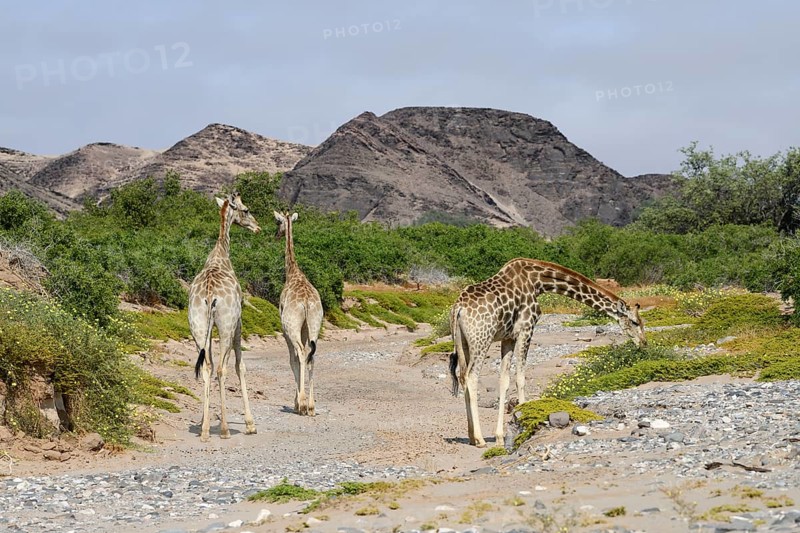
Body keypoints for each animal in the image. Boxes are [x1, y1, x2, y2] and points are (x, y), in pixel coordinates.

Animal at [188, 192, 261, 442]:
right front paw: (250, 424)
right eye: (246, 210)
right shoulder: (238, 322)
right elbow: (241, 366)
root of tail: (210, 296)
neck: (221, 254)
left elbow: (208, 367)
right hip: (227, 326)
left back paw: (205, 431)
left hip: (198, 327)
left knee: (207, 368)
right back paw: (226, 429)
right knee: (221, 368)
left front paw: (204, 422)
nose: (258, 227)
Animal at [449, 258, 645, 448]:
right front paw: (526, 420)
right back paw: (480, 439)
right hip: (482, 339)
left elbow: (504, 380)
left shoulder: (508, 337)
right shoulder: (526, 329)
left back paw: (471, 437)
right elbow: (521, 378)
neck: (539, 282)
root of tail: (458, 308)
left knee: (463, 377)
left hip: (463, 343)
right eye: (635, 322)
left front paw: (499, 437)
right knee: (472, 377)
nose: (644, 343)